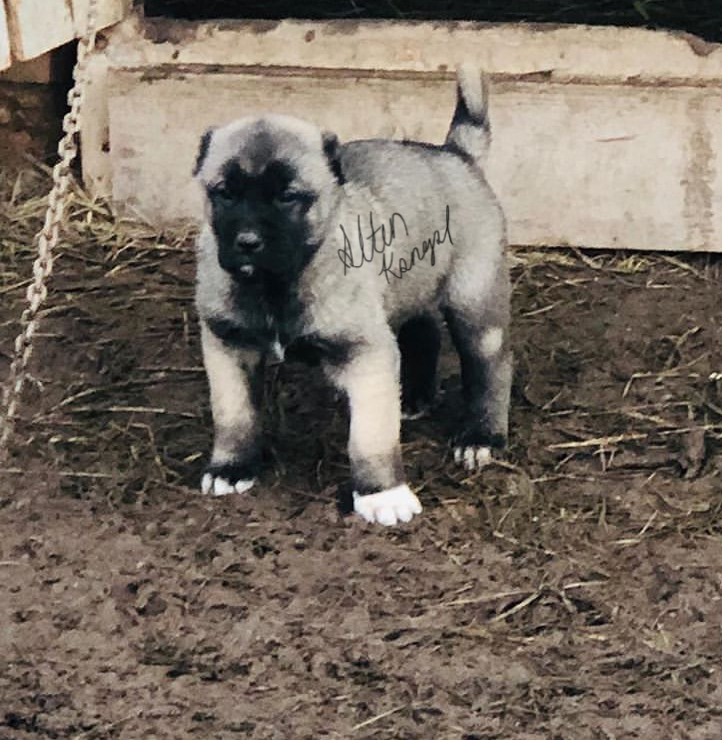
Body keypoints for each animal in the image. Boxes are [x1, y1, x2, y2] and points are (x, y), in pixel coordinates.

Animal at [190, 65, 506, 528]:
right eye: (224, 192)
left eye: (288, 197)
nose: (247, 243)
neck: (277, 284)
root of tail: (454, 154)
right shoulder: (228, 346)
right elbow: (235, 415)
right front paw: (232, 467)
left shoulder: (364, 355)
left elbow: (370, 435)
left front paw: (382, 493)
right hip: (406, 285)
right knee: (422, 330)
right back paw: (414, 396)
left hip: (475, 303)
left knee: (490, 365)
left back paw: (482, 436)